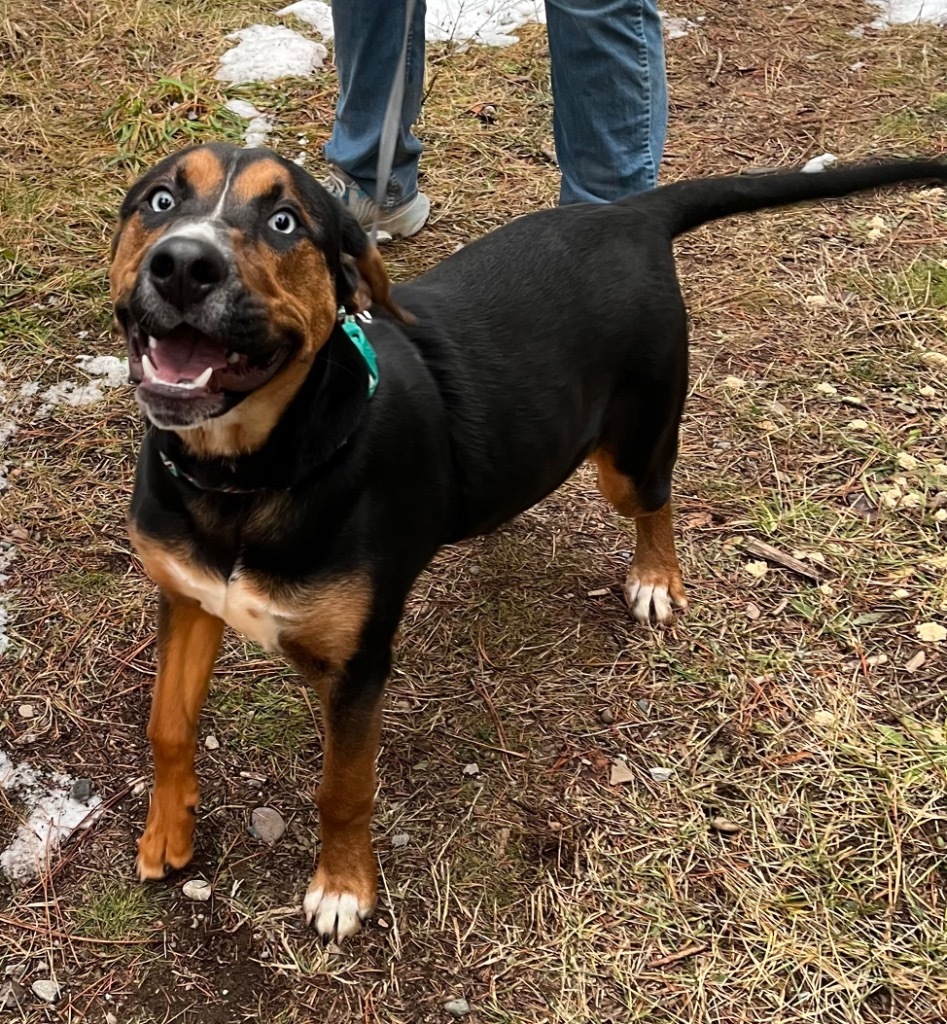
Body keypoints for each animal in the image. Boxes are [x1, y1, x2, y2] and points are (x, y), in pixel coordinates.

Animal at [112, 140, 945, 937]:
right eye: (160, 200)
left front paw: (343, 889)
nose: (183, 265)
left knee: (657, 500)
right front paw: (167, 834)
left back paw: (656, 577)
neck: (242, 477)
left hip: (630, 449)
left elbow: (342, 789)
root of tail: (625, 214)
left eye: (285, 221)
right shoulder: (186, 599)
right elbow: (167, 726)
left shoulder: (356, 669)